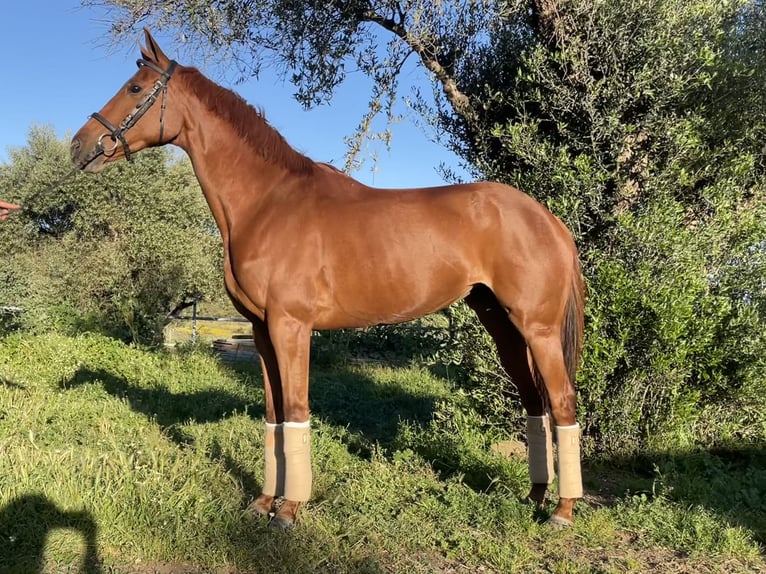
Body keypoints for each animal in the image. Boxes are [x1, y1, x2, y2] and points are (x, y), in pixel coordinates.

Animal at [73, 29, 588, 528]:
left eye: (134, 87)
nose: (81, 145)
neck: (267, 203)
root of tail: (549, 219)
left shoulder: (291, 326)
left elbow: (298, 411)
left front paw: (289, 511)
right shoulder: (261, 331)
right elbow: (274, 414)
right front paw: (263, 502)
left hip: (537, 328)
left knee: (562, 400)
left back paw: (562, 511)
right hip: (501, 324)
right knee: (534, 401)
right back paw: (535, 496)